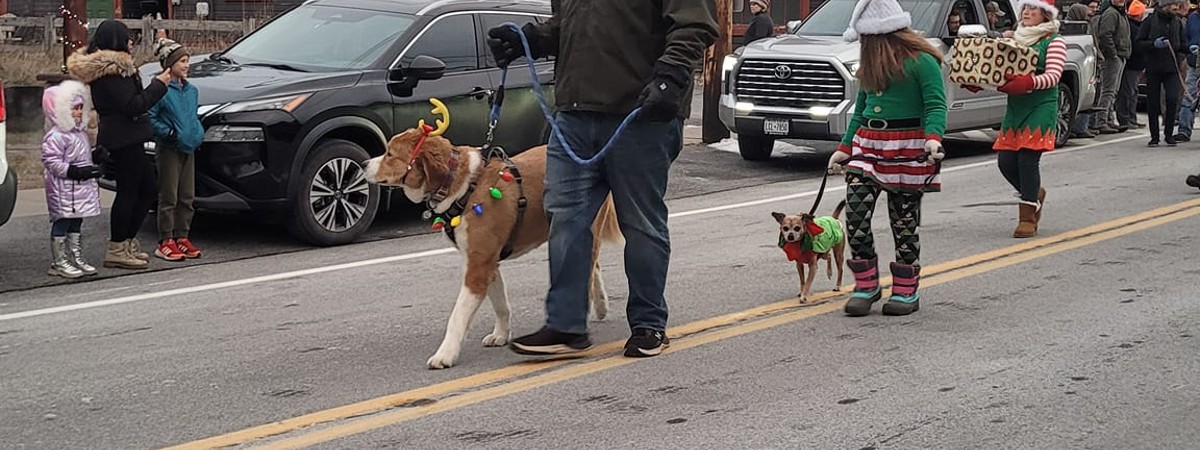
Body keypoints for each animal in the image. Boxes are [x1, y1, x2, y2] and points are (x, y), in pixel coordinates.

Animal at [364, 128, 624, 367]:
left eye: (390, 154)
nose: (365, 164)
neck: (463, 186)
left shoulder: (478, 266)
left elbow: (457, 316)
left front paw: (445, 354)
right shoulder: (487, 261)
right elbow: (500, 304)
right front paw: (501, 334)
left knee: (586, 267)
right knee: (592, 265)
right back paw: (600, 305)